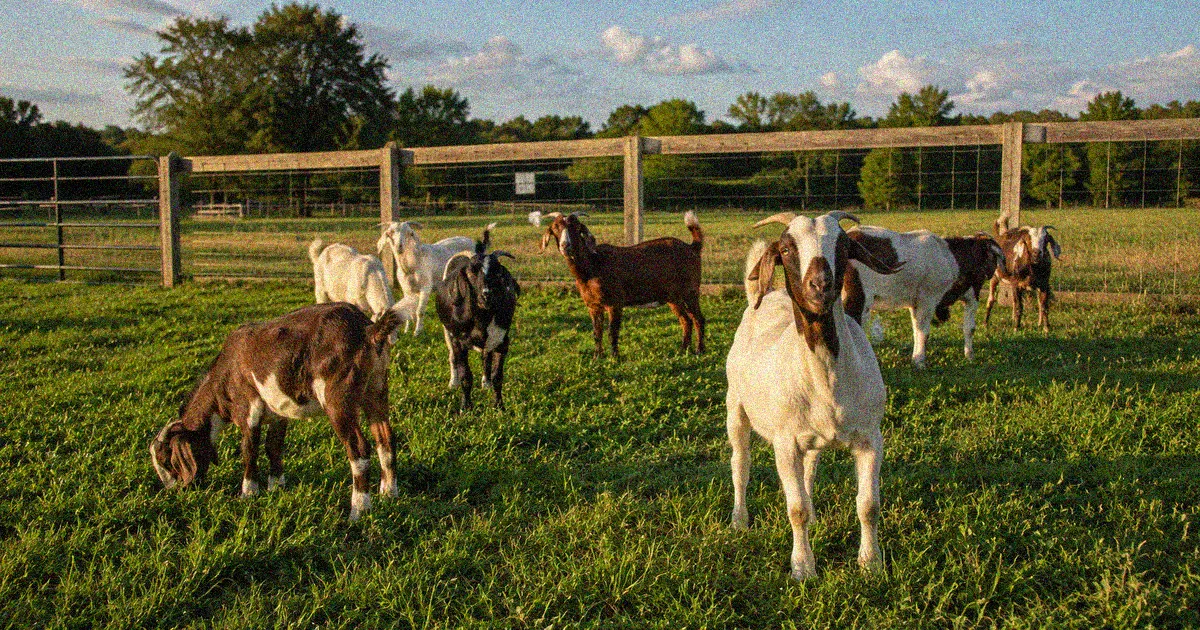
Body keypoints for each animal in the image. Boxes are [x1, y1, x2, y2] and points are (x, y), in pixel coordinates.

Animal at [149, 303, 410, 520]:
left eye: (167, 460)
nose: (175, 490)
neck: (223, 377)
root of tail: (368, 330)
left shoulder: (248, 409)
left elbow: (249, 450)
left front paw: (248, 493)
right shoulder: (278, 414)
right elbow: (273, 447)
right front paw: (276, 486)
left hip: (338, 399)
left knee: (358, 448)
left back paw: (359, 510)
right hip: (377, 389)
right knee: (386, 439)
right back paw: (389, 493)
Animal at [434, 224, 520, 411]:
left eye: (498, 272)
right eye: (471, 272)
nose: (486, 295)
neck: (482, 319)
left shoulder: (502, 342)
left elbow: (497, 376)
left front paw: (499, 406)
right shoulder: (459, 342)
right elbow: (466, 376)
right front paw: (465, 407)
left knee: (486, 357)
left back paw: (485, 382)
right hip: (447, 333)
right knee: (452, 356)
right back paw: (453, 382)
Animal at [532, 210, 704, 359]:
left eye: (576, 227)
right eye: (555, 227)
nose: (565, 246)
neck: (593, 265)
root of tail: (692, 247)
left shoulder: (614, 302)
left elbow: (612, 331)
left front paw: (615, 357)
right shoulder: (593, 305)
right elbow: (597, 332)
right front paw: (597, 357)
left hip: (690, 291)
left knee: (698, 319)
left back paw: (699, 350)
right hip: (673, 297)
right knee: (686, 320)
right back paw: (683, 350)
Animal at [726, 211, 903, 580]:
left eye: (843, 244)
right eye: (786, 249)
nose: (820, 286)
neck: (827, 379)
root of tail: (763, 296)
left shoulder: (871, 437)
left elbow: (869, 505)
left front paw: (870, 563)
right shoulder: (784, 442)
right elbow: (796, 510)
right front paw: (803, 568)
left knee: (809, 468)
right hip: (735, 407)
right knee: (740, 463)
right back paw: (739, 520)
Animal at [841, 227, 1004, 366]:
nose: (991, 273)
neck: (952, 258)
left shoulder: (918, 302)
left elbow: (917, 330)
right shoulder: (929, 299)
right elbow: (926, 332)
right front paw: (920, 362)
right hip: (857, 297)